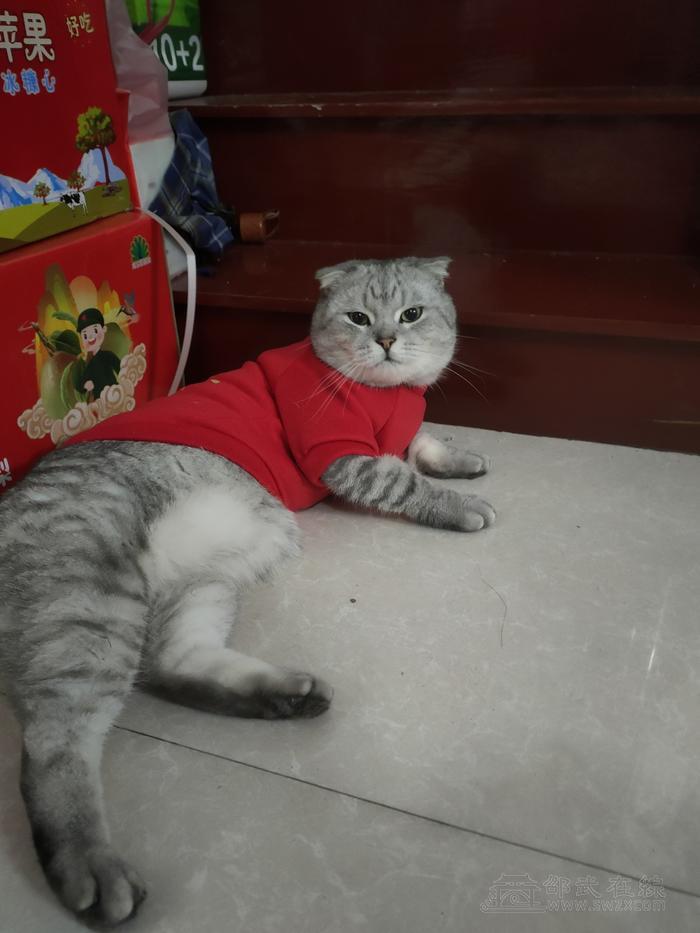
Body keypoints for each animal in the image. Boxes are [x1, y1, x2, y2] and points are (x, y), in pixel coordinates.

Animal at [0, 256, 495, 927]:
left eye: (411, 314)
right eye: (358, 317)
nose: (387, 340)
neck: (387, 396)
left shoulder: (394, 440)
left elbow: (425, 442)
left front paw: (463, 459)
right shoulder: (345, 458)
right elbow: (408, 481)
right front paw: (463, 504)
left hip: (205, 585)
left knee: (172, 667)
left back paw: (287, 696)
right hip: (89, 612)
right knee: (53, 747)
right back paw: (92, 870)